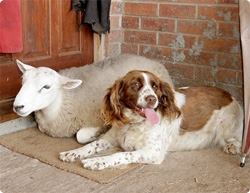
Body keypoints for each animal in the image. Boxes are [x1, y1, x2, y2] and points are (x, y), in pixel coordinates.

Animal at [13, 55, 173, 142]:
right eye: (23, 81)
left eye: (46, 86)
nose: (17, 106)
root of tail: (152, 60)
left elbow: (81, 135)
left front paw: (98, 134)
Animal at [59, 70, 243, 170]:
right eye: (135, 85)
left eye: (155, 86)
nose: (152, 99)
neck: (134, 123)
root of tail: (231, 96)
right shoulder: (110, 138)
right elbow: (90, 145)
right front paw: (72, 153)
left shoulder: (153, 152)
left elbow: (120, 155)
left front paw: (97, 161)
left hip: (227, 129)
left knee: (239, 138)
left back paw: (232, 147)